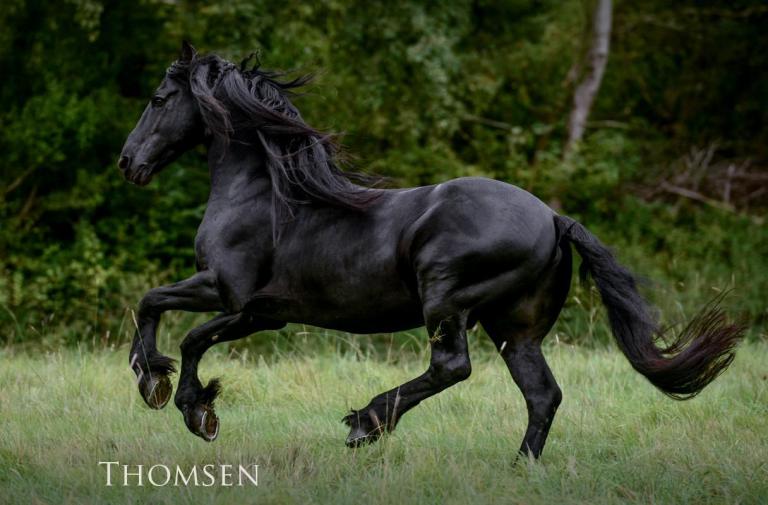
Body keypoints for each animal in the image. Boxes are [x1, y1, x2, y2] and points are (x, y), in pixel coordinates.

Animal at [118, 42, 744, 458]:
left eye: (158, 98)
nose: (128, 163)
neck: (264, 195)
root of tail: (553, 218)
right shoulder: (261, 316)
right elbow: (175, 321)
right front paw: (183, 398)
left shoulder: (233, 299)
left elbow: (168, 317)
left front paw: (174, 395)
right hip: (514, 326)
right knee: (542, 394)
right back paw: (519, 467)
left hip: (446, 301)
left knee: (452, 367)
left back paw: (365, 422)